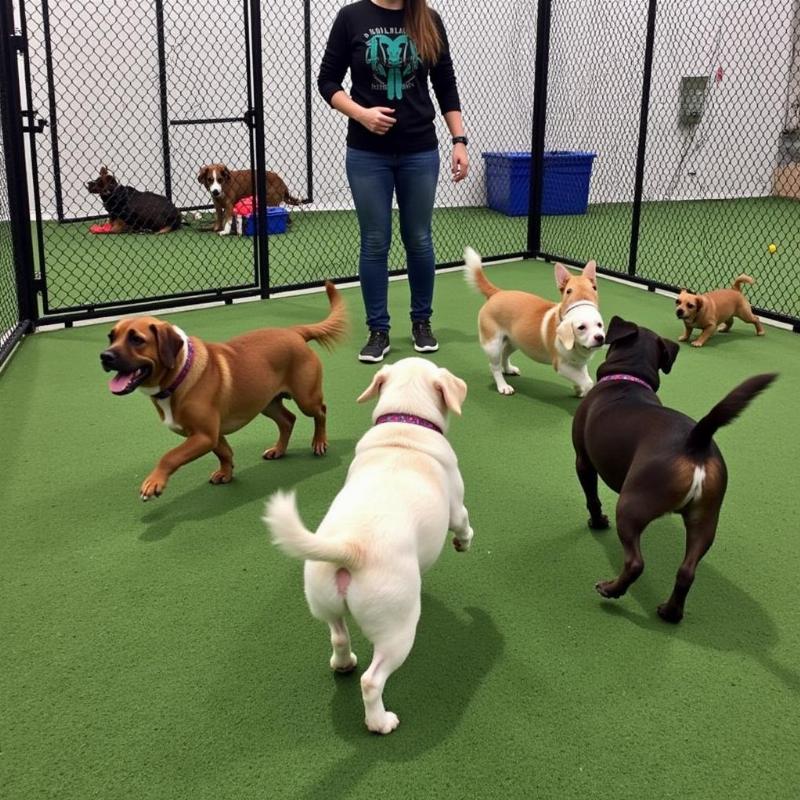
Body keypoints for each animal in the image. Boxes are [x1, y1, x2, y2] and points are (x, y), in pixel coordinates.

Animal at [99, 282, 346, 500]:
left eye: (137, 339)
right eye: (111, 337)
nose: (105, 356)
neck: (181, 375)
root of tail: (294, 332)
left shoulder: (204, 435)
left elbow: (170, 456)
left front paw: (154, 481)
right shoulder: (211, 435)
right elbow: (224, 452)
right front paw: (226, 473)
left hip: (306, 399)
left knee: (321, 412)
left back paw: (319, 442)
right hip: (267, 403)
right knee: (288, 420)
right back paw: (278, 450)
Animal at [262, 360, 476, 736]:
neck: (405, 423)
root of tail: (350, 548)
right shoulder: (456, 506)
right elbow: (464, 524)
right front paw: (463, 542)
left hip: (325, 605)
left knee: (338, 638)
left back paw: (343, 663)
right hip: (397, 633)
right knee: (372, 681)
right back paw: (380, 722)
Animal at [466, 244, 604, 394]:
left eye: (600, 325)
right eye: (581, 328)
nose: (600, 337)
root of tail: (497, 292)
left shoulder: (579, 364)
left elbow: (583, 377)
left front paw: (579, 389)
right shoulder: (561, 366)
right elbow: (588, 382)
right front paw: (585, 389)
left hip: (515, 341)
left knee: (505, 354)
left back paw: (508, 369)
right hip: (493, 345)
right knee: (495, 366)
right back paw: (503, 386)